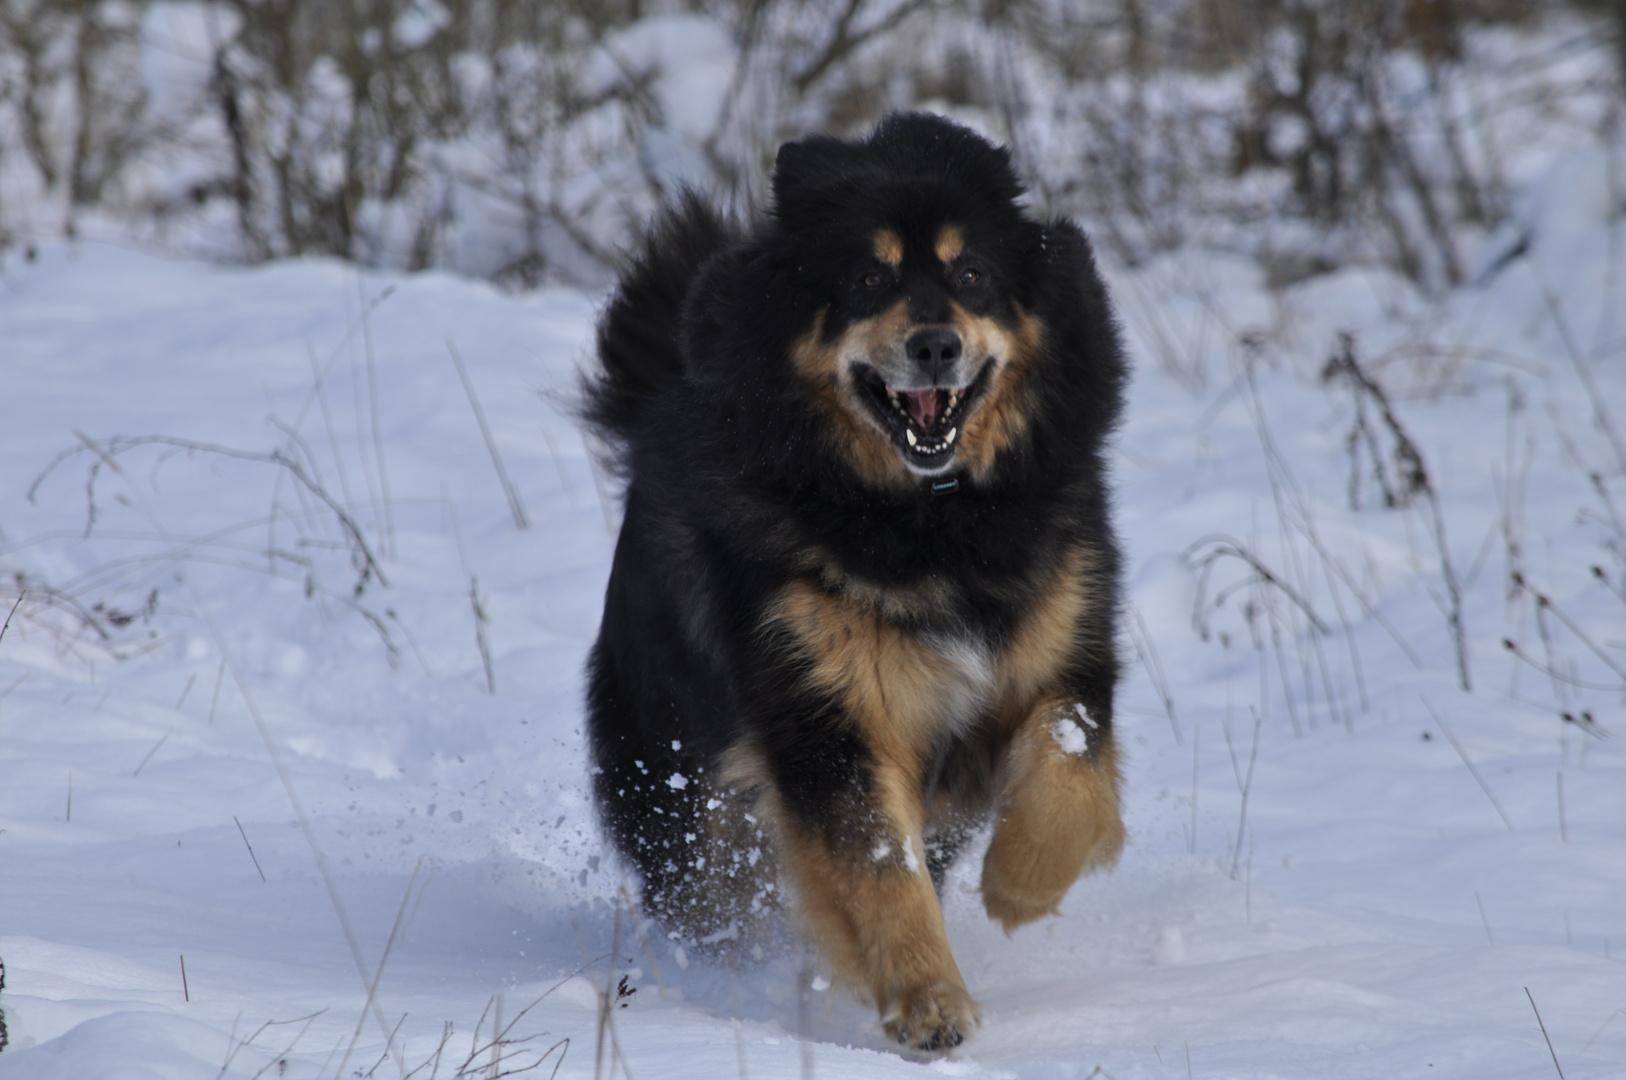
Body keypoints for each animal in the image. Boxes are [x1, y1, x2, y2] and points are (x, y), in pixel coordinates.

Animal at [585, 113, 1131, 1047]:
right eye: (869, 279)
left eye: (973, 275)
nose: (935, 344)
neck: (932, 522)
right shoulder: (826, 707)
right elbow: (878, 862)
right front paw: (928, 1002)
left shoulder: (1065, 647)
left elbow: (1071, 771)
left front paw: (1020, 886)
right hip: (677, 777)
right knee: (706, 892)